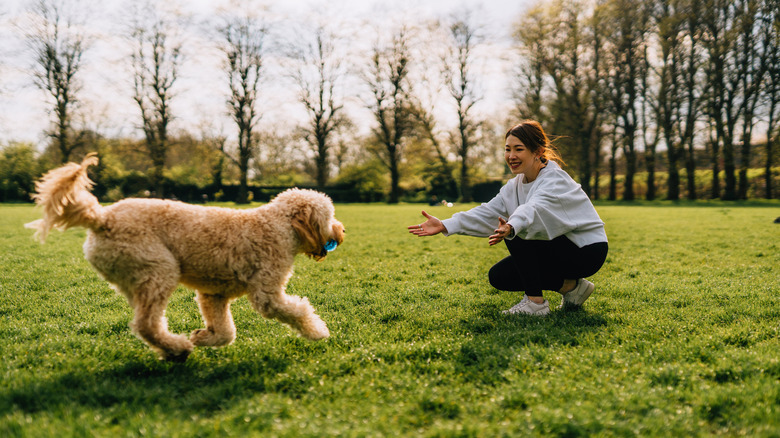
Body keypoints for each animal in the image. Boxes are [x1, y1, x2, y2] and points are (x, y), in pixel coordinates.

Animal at [27, 156, 344, 362]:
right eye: (329, 216)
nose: (342, 231)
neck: (278, 225)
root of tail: (101, 218)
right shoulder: (267, 294)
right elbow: (297, 310)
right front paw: (317, 332)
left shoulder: (213, 295)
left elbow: (226, 332)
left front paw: (203, 337)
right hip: (159, 271)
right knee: (146, 324)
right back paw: (178, 348)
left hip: (136, 281)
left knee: (145, 325)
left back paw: (172, 349)